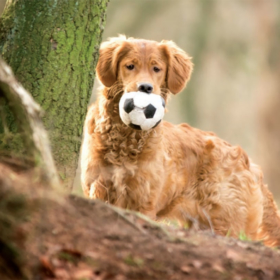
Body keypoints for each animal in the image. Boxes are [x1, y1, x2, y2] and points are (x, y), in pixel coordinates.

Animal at [81, 35, 280, 247]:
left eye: (156, 68)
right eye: (130, 66)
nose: (145, 87)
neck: (125, 139)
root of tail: (249, 163)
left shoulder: (143, 201)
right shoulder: (98, 189)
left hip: (227, 224)